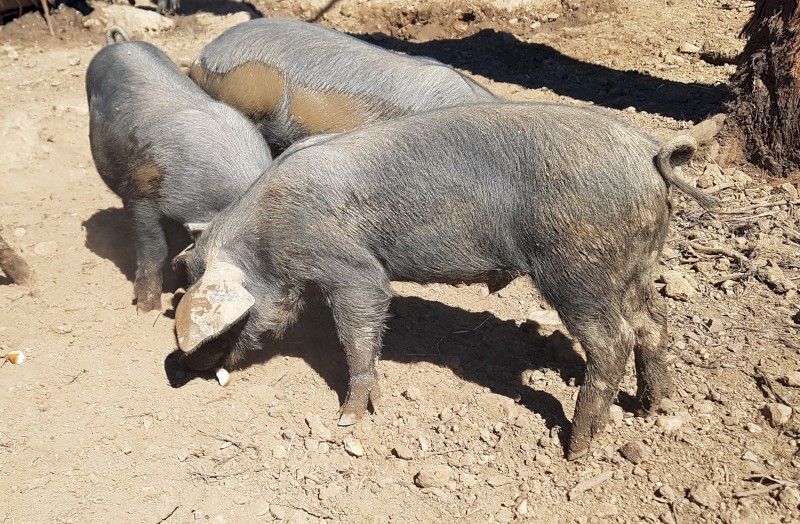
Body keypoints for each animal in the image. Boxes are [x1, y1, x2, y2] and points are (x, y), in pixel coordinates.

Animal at [172, 102, 717, 460]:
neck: (268, 234)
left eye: (229, 323)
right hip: (637, 266)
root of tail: (649, 153)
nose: (187, 369)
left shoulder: (350, 268)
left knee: (613, 340)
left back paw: (575, 449)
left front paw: (347, 419)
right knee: (653, 324)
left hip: (577, 268)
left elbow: (357, 330)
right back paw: (652, 408)